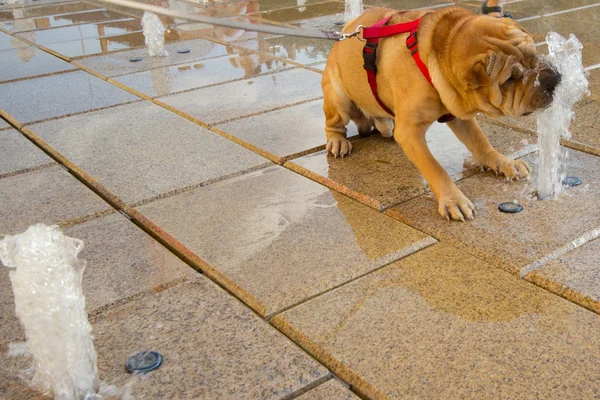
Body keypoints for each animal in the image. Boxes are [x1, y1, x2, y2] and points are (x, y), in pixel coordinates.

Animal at [322, 6, 560, 220]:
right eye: (510, 79)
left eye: (534, 55)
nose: (553, 79)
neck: (435, 54)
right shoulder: (410, 132)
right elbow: (434, 167)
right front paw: (453, 199)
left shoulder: (459, 113)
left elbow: (481, 142)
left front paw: (504, 162)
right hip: (339, 98)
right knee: (334, 124)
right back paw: (338, 142)